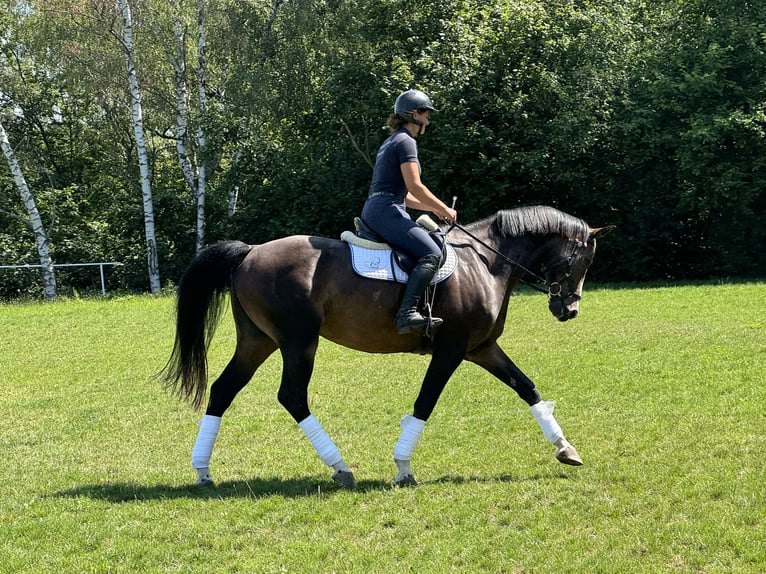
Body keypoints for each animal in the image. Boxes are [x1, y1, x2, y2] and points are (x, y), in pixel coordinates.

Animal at [160, 205, 612, 488]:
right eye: (585, 261)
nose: (569, 309)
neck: (485, 263)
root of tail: (250, 252)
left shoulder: (481, 348)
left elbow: (527, 387)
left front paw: (566, 449)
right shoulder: (451, 350)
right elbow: (425, 403)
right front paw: (403, 466)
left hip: (258, 341)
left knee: (223, 389)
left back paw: (202, 471)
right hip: (298, 341)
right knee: (292, 395)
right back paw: (340, 467)